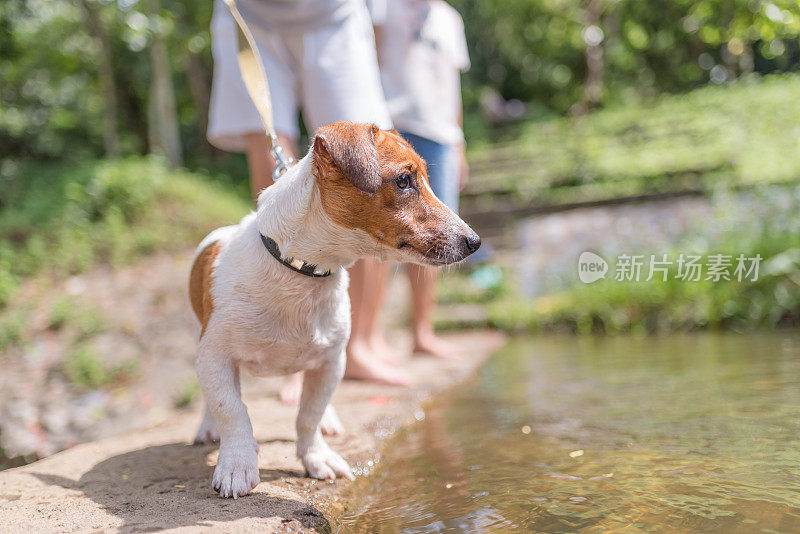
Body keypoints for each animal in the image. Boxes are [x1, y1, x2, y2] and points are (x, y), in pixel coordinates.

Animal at [191, 122, 482, 498]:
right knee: (211, 399)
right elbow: (231, 409)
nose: (475, 242)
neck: (300, 272)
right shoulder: (215, 355)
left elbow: (309, 414)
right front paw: (237, 464)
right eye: (404, 180)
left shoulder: (332, 361)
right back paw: (208, 427)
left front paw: (317, 456)